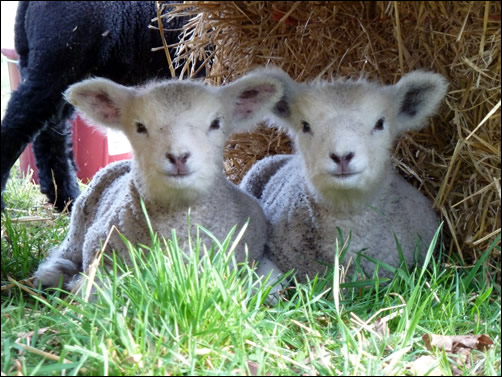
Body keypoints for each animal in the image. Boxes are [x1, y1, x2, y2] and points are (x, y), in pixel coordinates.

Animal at [34, 70, 286, 290]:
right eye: (140, 127)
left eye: (216, 123)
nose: (178, 157)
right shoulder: (98, 249)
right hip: (79, 223)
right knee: (68, 250)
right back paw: (53, 272)